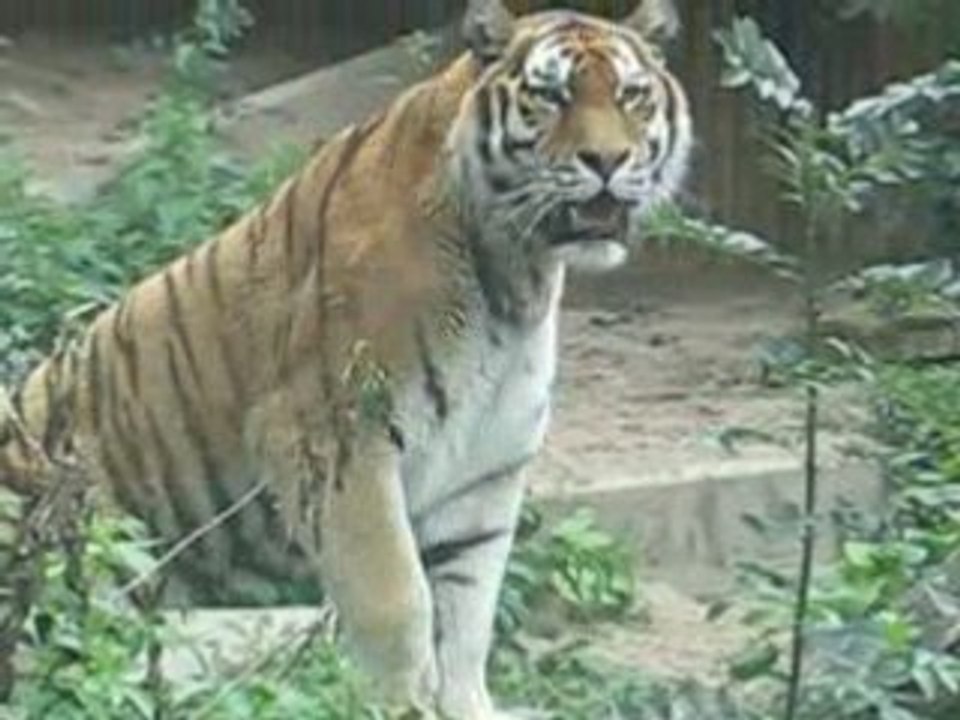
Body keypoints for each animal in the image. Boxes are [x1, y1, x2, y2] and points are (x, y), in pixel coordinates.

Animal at [0, 0, 692, 716]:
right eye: (551, 96)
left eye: (631, 96)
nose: (607, 159)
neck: (516, 274)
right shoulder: (335, 442)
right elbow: (396, 598)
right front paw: (395, 702)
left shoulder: (484, 470)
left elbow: (468, 617)